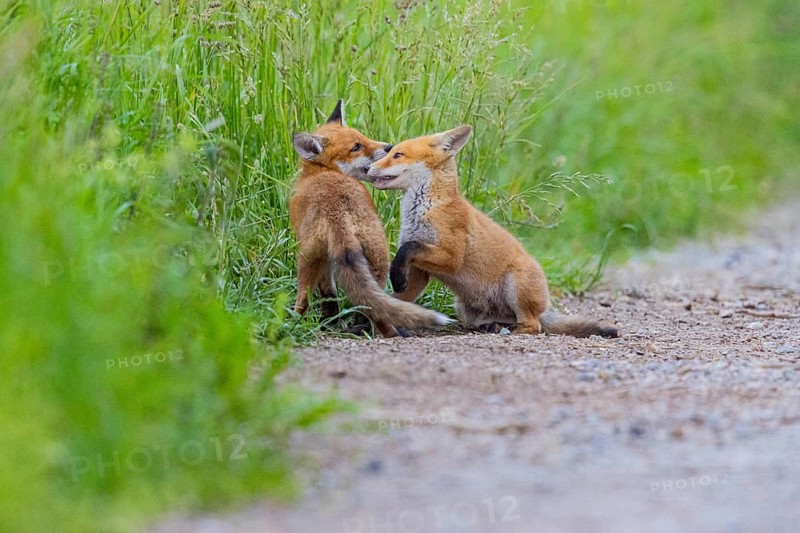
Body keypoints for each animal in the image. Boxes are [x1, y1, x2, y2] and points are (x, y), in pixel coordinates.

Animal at [289, 100, 451, 337]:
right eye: (356, 147)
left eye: (363, 137)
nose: (389, 146)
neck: (320, 172)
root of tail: (337, 213)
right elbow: (330, 297)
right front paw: (330, 323)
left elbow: (327, 295)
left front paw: (328, 324)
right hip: (376, 260)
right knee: (372, 305)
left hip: (306, 260)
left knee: (302, 300)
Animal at [366, 124, 619, 338]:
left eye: (398, 155)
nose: (368, 168)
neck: (427, 208)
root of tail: (545, 305)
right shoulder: (420, 270)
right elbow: (400, 295)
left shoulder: (451, 257)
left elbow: (408, 248)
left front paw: (394, 284)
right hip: (466, 308)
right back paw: (493, 326)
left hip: (516, 285)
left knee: (533, 326)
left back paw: (508, 330)